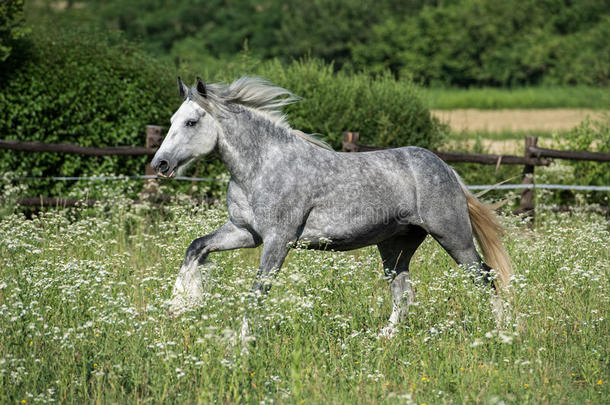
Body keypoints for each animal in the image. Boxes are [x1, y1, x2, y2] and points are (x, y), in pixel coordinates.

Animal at [150, 76, 510, 334]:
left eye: (192, 122)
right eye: (172, 120)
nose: (160, 164)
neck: (263, 166)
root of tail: (446, 169)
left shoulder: (278, 240)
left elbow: (257, 292)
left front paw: (240, 343)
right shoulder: (244, 232)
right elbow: (196, 247)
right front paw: (179, 305)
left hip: (453, 236)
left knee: (485, 278)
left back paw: (501, 333)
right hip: (396, 246)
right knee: (403, 291)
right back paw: (385, 337)